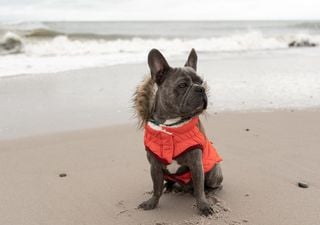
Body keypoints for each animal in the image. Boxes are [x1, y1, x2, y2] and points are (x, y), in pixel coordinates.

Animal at [133, 48, 222, 215]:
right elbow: (156, 188)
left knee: (210, 185)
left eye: (200, 82)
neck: (171, 125)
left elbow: (199, 188)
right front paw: (152, 202)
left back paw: (210, 192)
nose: (201, 89)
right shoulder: (155, 165)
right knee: (166, 183)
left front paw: (203, 205)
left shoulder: (196, 164)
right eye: (182, 85)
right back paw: (168, 187)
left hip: (214, 173)